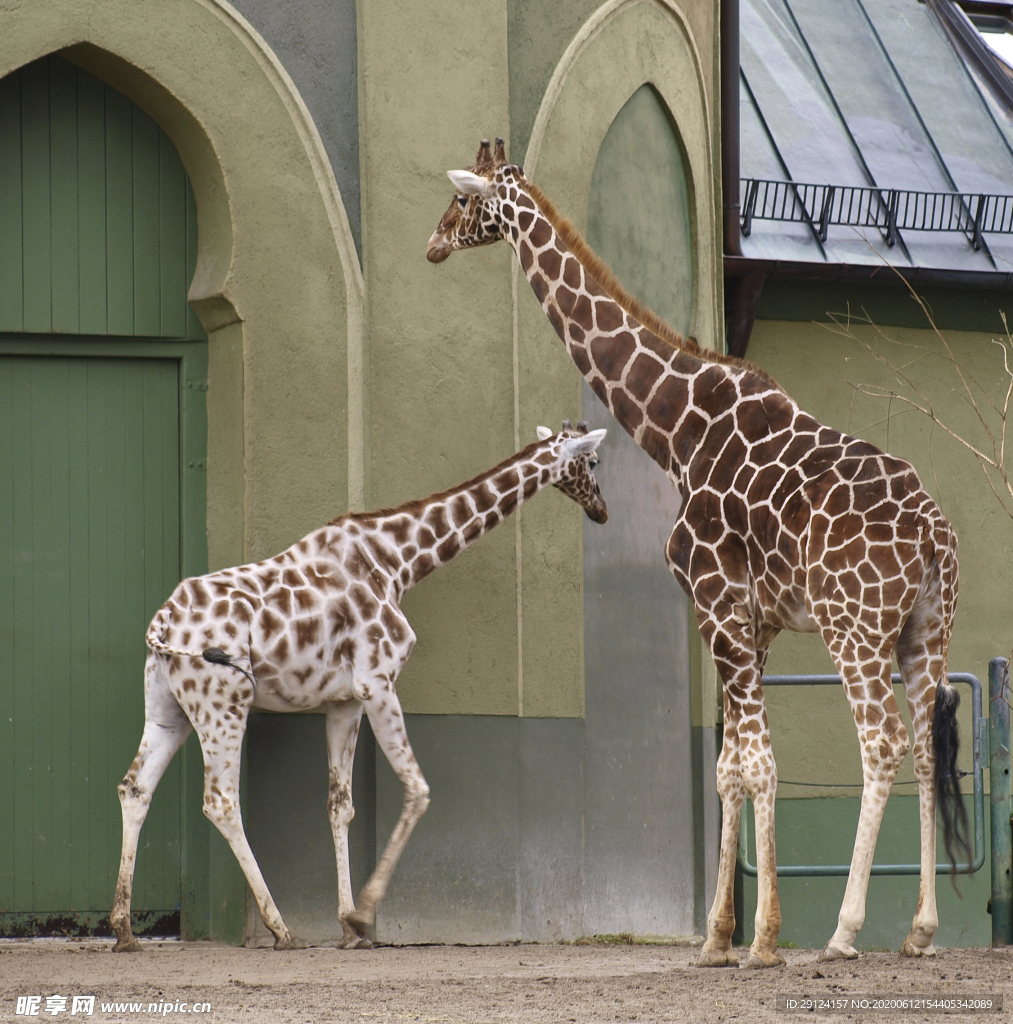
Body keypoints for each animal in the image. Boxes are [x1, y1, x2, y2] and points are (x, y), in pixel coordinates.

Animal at [108, 421, 610, 950]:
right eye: (594, 462)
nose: (602, 510)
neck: (397, 561)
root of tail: (163, 620)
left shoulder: (344, 701)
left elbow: (340, 805)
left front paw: (348, 924)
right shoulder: (378, 680)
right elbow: (418, 789)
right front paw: (365, 915)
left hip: (169, 708)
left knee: (134, 788)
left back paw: (123, 928)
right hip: (224, 702)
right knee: (221, 800)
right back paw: (280, 928)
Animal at [424, 140, 962, 962]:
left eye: (460, 200)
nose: (433, 245)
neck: (673, 429)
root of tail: (933, 531)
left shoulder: (715, 604)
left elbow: (752, 763)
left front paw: (761, 939)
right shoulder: (754, 623)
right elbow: (729, 767)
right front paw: (718, 938)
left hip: (855, 627)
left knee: (882, 743)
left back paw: (843, 932)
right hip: (924, 630)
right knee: (930, 749)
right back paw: (920, 930)